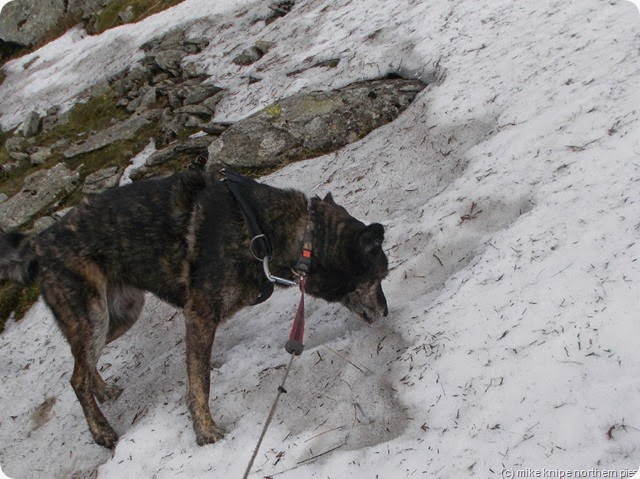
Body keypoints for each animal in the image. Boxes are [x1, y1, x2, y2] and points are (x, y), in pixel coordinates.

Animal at [0, 171, 388, 448]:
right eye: (381, 275)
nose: (386, 313)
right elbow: (200, 382)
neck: (273, 232)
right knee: (75, 377)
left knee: (81, 360)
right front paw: (205, 432)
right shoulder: (200, 314)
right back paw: (101, 431)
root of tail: (40, 240)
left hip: (121, 313)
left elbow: (196, 367)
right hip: (92, 314)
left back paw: (103, 390)